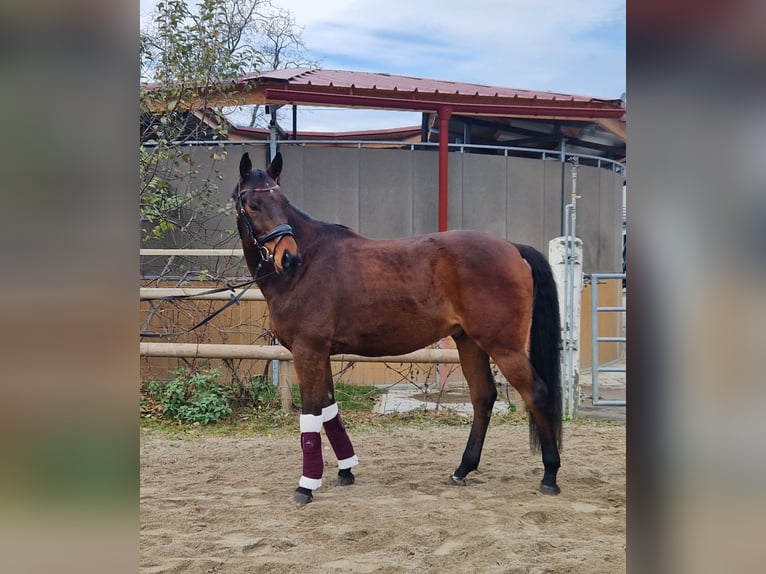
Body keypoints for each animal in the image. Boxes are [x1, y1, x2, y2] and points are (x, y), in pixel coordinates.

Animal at [233, 151, 563, 506]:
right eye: (253, 204)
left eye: (283, 200)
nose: (289, 257)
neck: (309, 264)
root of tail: (512, 247)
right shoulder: (320, 354)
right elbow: (330, 410)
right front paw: (345, 471)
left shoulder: (308, 352)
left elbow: (311, 415)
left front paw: (306, 485)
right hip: (470, 343)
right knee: (483, 397)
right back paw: (463, 469)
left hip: (504, 347)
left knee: (536, 393)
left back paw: (550, 474)